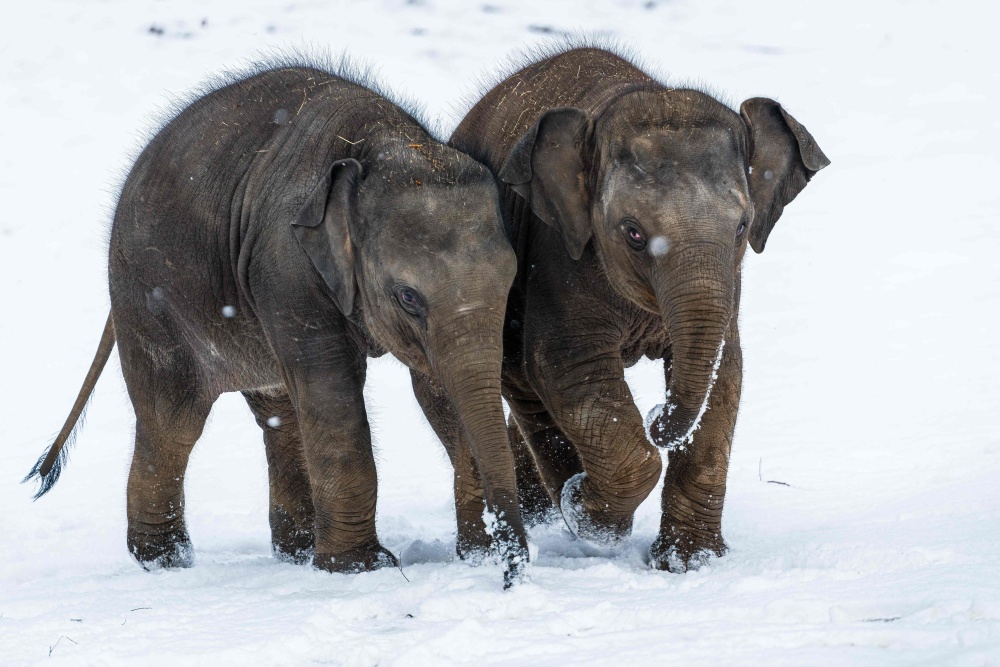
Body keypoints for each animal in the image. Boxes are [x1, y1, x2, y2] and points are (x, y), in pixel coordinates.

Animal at [21, 60, 532, 588]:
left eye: (511, 282)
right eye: (408, 296)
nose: (511, 573)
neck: (381, 143)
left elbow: (436, 389)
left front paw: (474, 555)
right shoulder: (285, 265)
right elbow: (332, 388)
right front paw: (359, 569)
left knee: (280, 415)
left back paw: (296, 551)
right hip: (146, 298)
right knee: (172, 421)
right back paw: (164, 563)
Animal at [446, 45, 828, 576]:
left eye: (741, 228)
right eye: (632, 232)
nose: (655, 415)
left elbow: (725, 375)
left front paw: (689, 564)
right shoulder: (558, 253)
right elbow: (567, 368)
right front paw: (585, 512)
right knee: (524, 383)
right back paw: (561, 499)